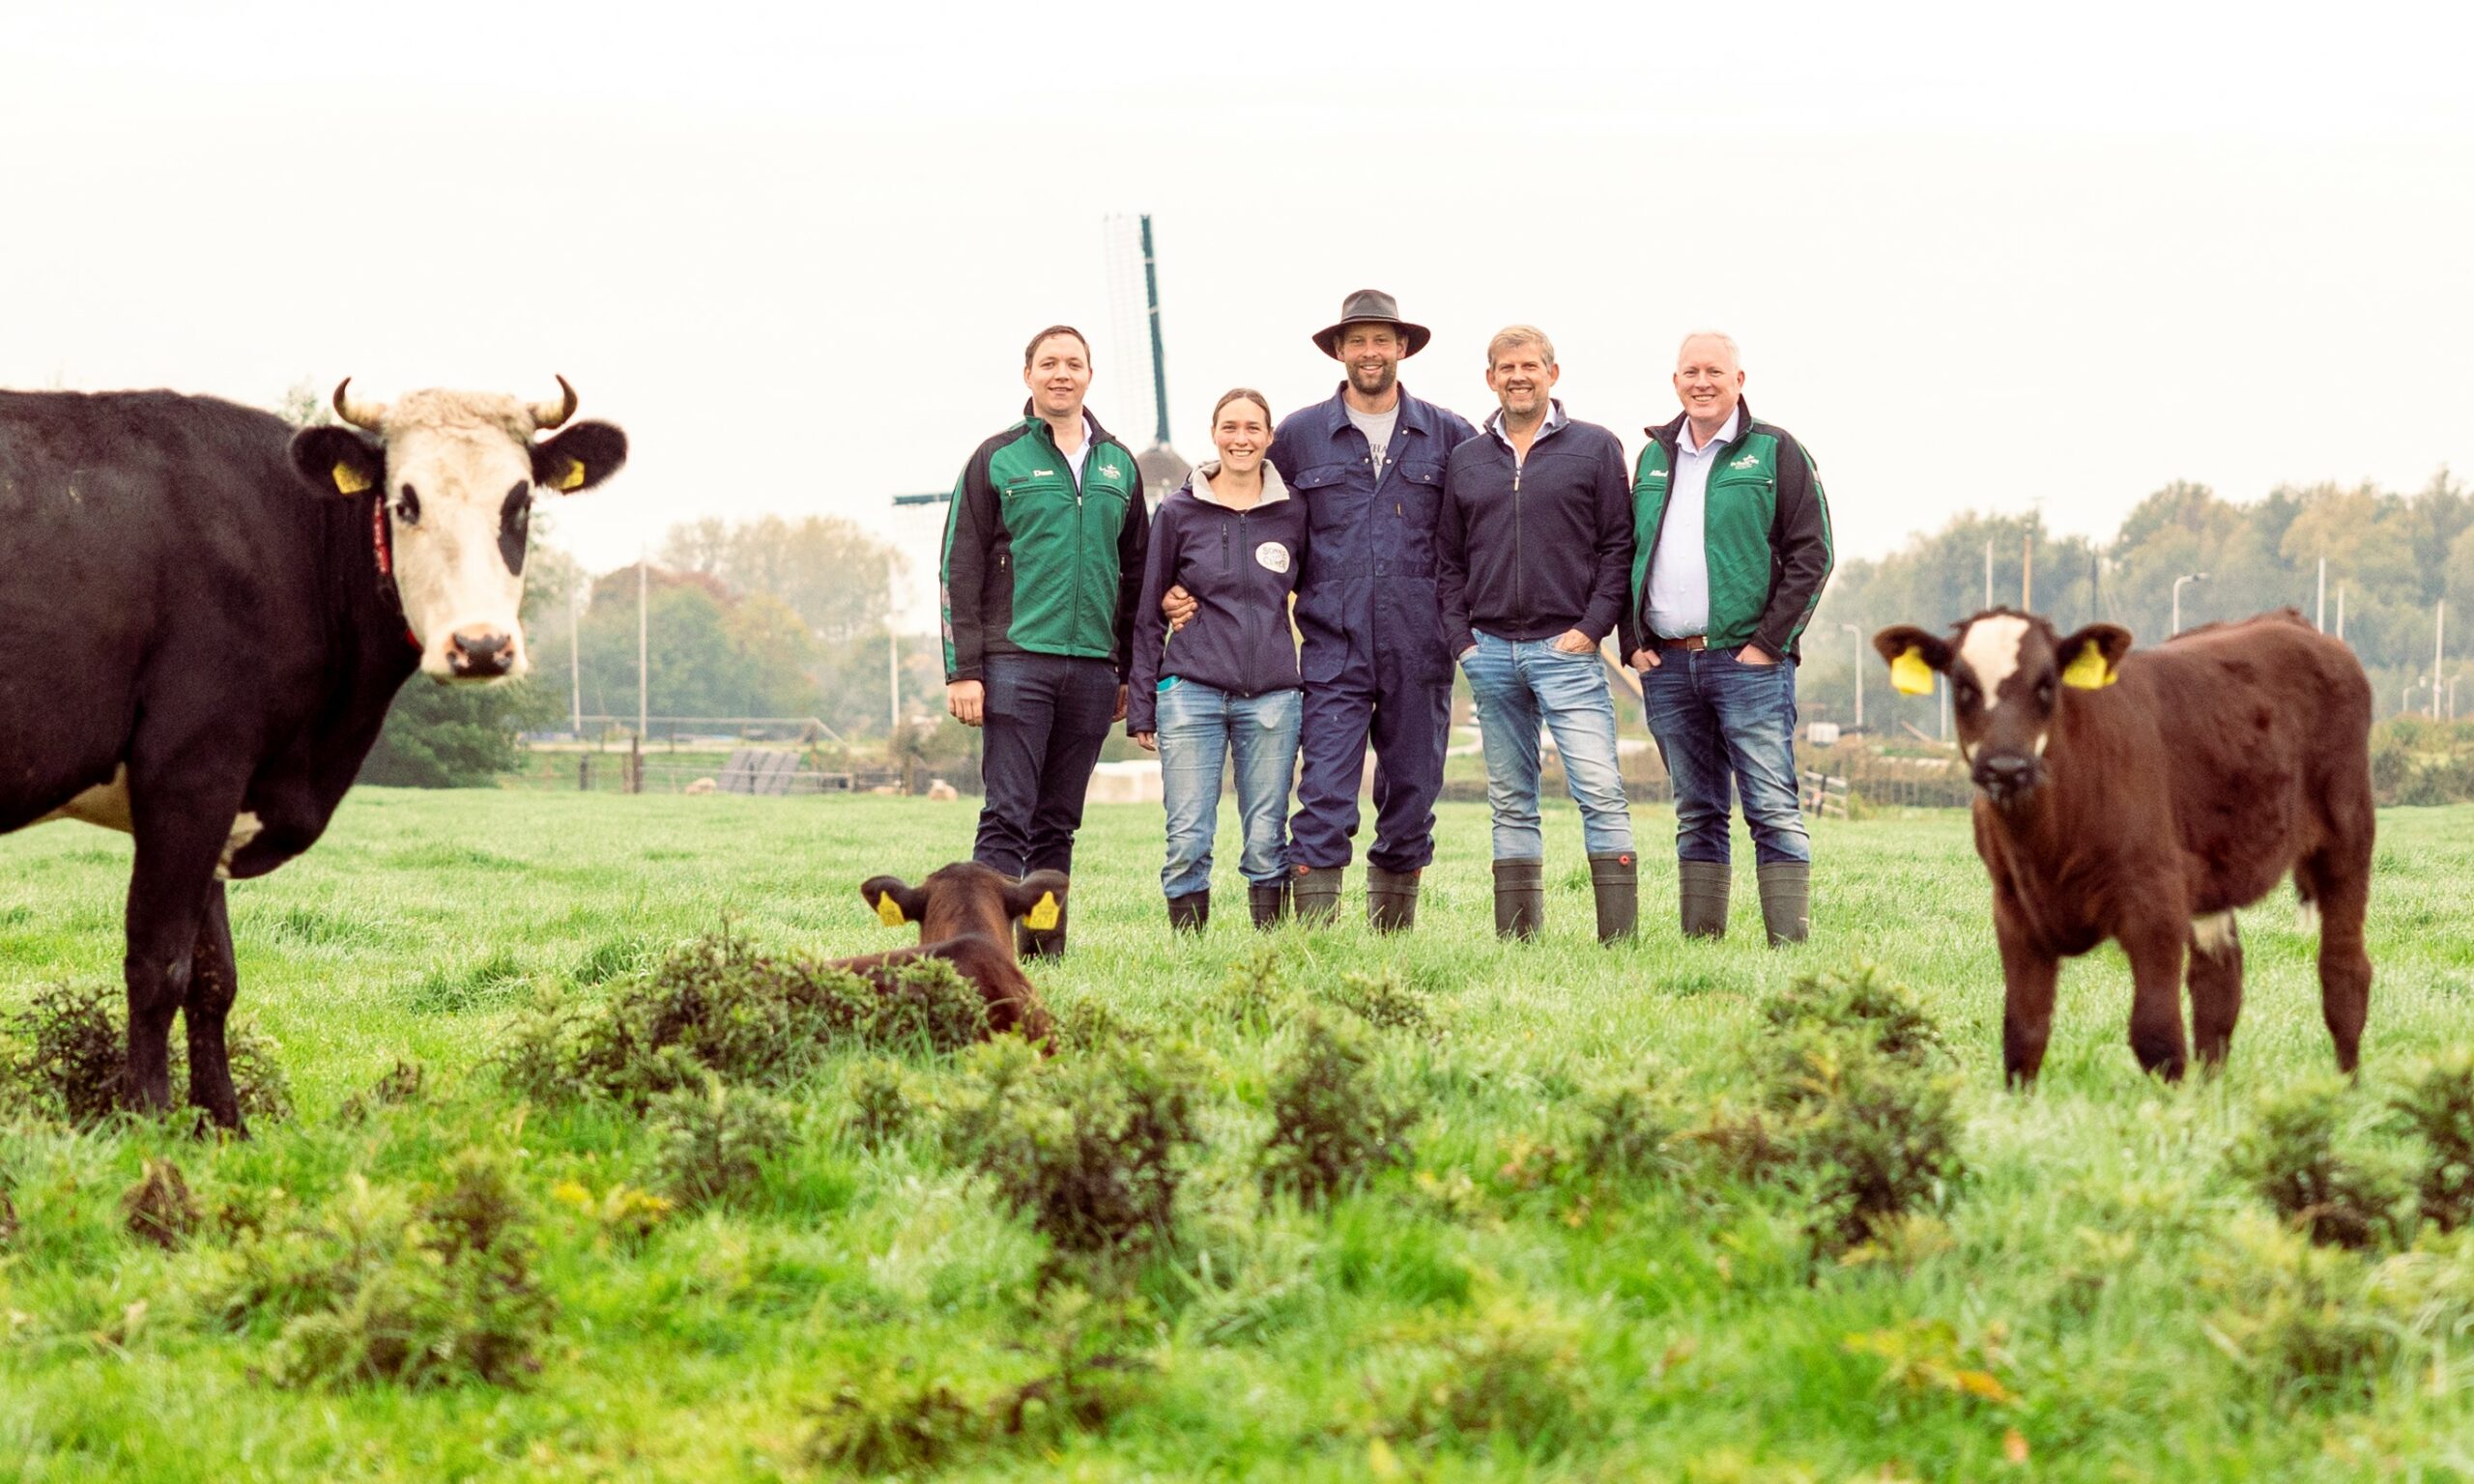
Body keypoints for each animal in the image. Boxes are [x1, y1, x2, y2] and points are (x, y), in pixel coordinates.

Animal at [2, 381, 618, 1123]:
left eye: (519, 503)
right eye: (405, 502)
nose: (479, 646)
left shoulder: (228, 795)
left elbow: (214, 978)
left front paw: (222, 1126)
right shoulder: (191, 775)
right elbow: (157, 966)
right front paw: (147, 1121)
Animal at [1870, 608, 2374, 1083]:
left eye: (2047, 683)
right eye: (1962, 686)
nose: (2006, 767)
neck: (2047, 840)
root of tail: (2290, 622)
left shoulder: (2154, 902)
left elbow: (2157, 1036)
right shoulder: (2013, 909)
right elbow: (2023, 1035)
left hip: (2348, 836)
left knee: (2344, 974)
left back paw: (2345, 1090)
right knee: (2218, 985)